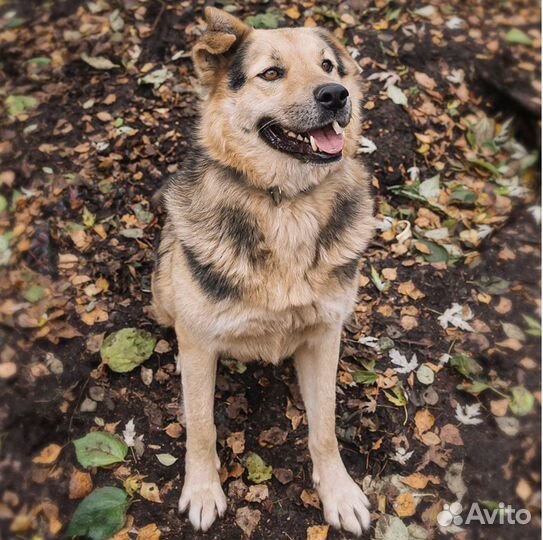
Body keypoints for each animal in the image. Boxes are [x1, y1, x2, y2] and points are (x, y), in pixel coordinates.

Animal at [151, 7, 376, 536]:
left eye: (328, 66)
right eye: (271, 73)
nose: (336, 95)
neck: (286, 204)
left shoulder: (325, 334)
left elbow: (325, 428)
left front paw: (339, 491)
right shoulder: (200, 344)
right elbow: (202, 427)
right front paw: (202, 490)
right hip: (165, 280)